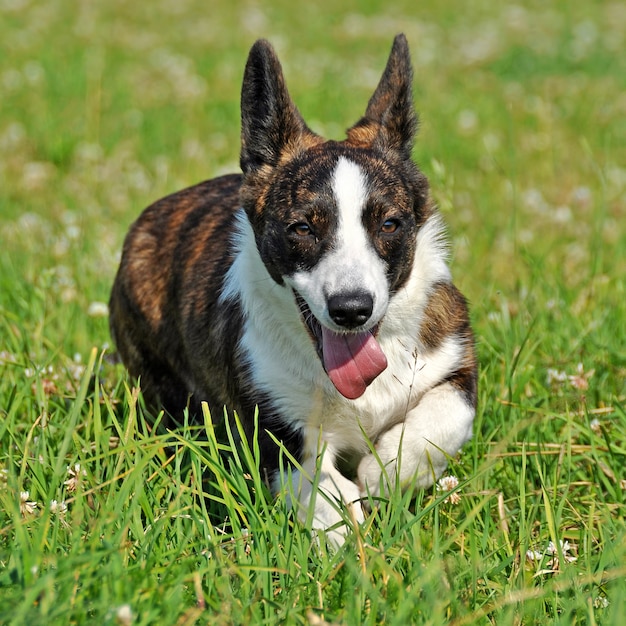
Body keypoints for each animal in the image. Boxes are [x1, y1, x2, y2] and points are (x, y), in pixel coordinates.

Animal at [109, 35, 476, 540]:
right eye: (302, 228)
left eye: (389, 224)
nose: (351, 309)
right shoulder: (272, 437)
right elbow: (322, 492)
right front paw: (348, 530)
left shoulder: (456, 363)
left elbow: (444, 419)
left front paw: (385, 472)